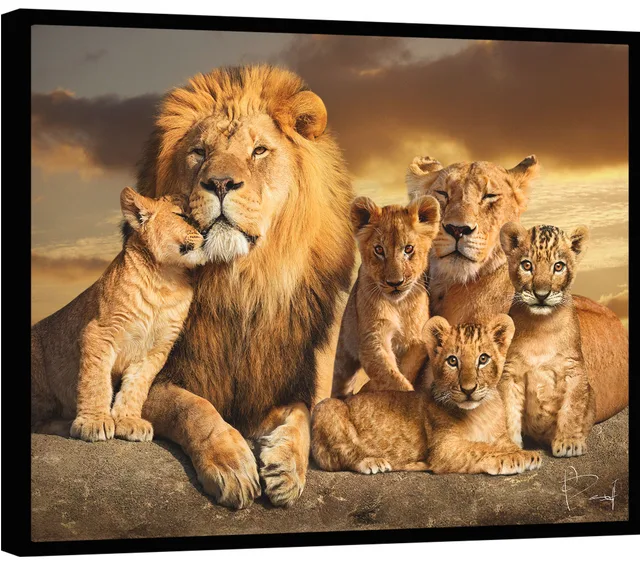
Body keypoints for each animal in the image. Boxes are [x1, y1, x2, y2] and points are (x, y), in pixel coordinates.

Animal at [31, 187, 206, 442]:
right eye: (182, 216)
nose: (206, 231)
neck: (166, 280)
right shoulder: (99, 333)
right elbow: (96, 382)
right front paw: (93, 421)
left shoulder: (156, 350)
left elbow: (137, 387)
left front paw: (128, 421)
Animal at [128, 65, 355, 509]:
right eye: (199, 152)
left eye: (259, 151)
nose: (219, 183)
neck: (241, 284)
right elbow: (193, 407)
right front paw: (231, 464)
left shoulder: (283, 381)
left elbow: (301, 416)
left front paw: (287, 469)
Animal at [312, 314, 542, 475]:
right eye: (452, 361)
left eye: (483, 359)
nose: (468, 389)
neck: (482, 412)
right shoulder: (445, 449)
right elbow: (480, 447)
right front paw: (512, 459)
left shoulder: (501, 437)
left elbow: (506, 444)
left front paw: (527, 454)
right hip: (326, 408)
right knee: (341, 456)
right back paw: (373, 461)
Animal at [331, 195, 440, 398]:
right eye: (379, 250)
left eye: (408, 249)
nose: (395, 282)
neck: (399, 305)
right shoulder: (372, 338)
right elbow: (389, 375)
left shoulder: (418, 339)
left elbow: (405, 369)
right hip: (344, 349)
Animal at [499, 223, 596, 457]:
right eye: (527, 265)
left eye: (558, 266)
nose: (541, 294)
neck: (541, 326)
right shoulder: (511, 372)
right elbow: (508, 412)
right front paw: (512, 447)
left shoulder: (574, 369)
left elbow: (572, 409)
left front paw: (569, 443)